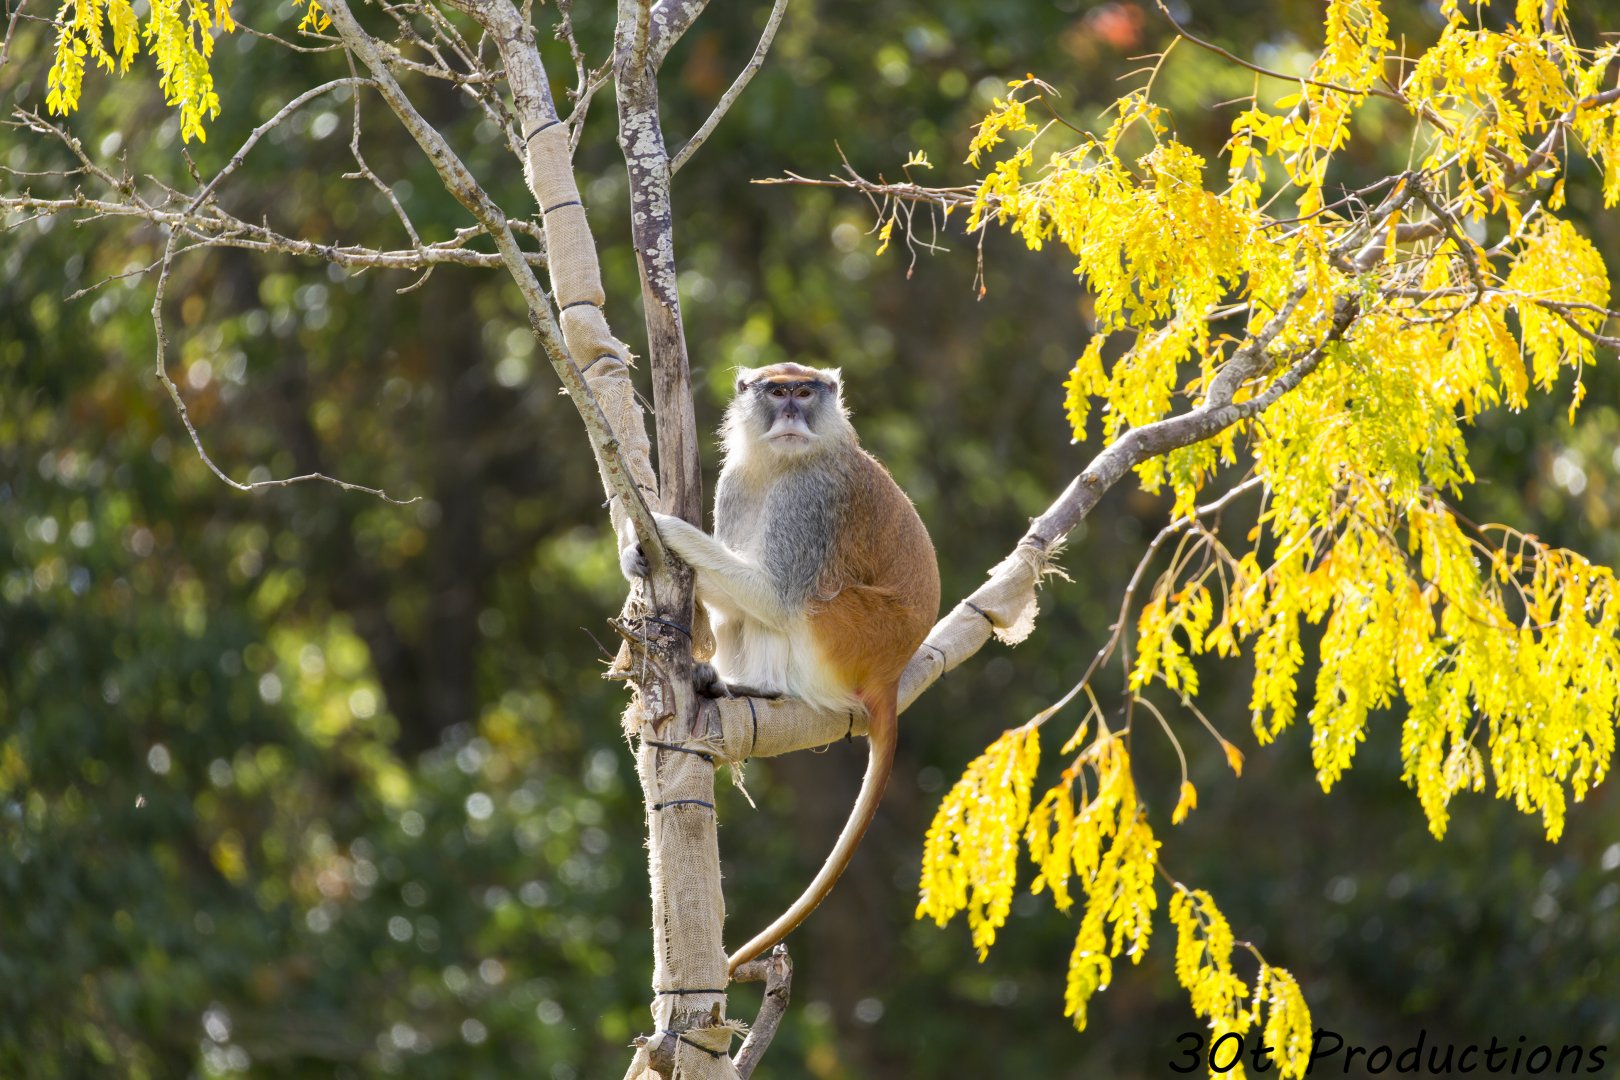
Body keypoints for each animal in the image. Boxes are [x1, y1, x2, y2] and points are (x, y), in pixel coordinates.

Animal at [628, 362, 939, 974]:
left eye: (804, 390)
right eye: (776, 392)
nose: (792, 410)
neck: (781, 464)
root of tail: (891, 675)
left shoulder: (809, 498)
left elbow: (773, 595)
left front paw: (668, 531)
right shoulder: (736, 482)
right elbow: (736, 605)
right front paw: (638, 560)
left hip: (851, 634)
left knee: (802, 604)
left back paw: (761, 688)